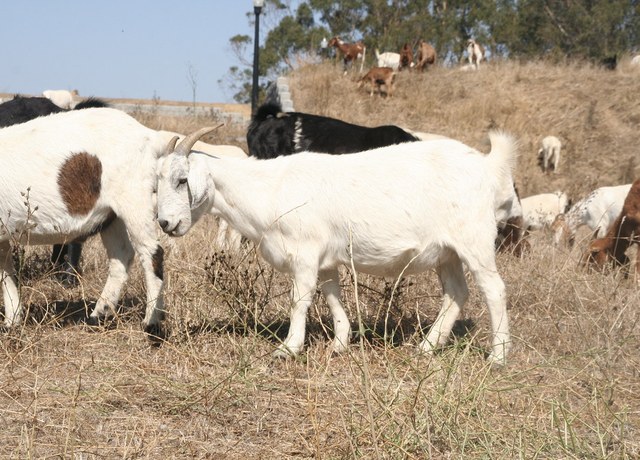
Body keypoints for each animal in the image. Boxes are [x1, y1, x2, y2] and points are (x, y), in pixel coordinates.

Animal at [156, 131, 518, 365]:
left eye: (182, 180)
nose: (165, 223)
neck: (270, 189)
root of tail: (488, 166)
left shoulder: (304, 253)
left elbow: (299, 300)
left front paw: (288, 349)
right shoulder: (326, 259)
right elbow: (332, 296)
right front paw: (340, 344)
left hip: (474, 240)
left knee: (494, 290)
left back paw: (497, 356)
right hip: (447, 252)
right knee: (456, 293)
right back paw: (427, 348)